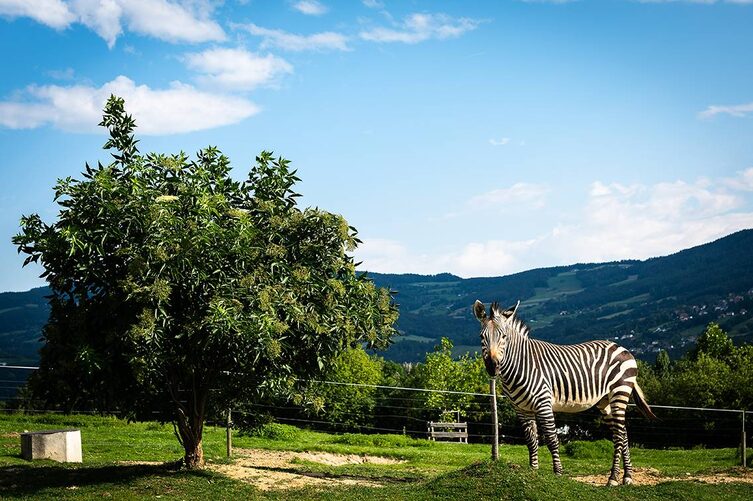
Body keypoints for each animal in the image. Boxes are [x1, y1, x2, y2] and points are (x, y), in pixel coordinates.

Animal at [474, 300, 656, 486]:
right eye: (482, 337)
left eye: (504, 337)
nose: (492, 367)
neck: (520, 364)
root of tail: (621, 347)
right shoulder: (521, 408)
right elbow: (531, 441)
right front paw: (533, 471)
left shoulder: (543, 403)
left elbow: (552, 439)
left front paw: (558, 473)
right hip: (605, 402)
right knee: (623, 433)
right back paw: (627, 476)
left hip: (620, 392)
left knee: (619, 435)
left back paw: (613, 478)